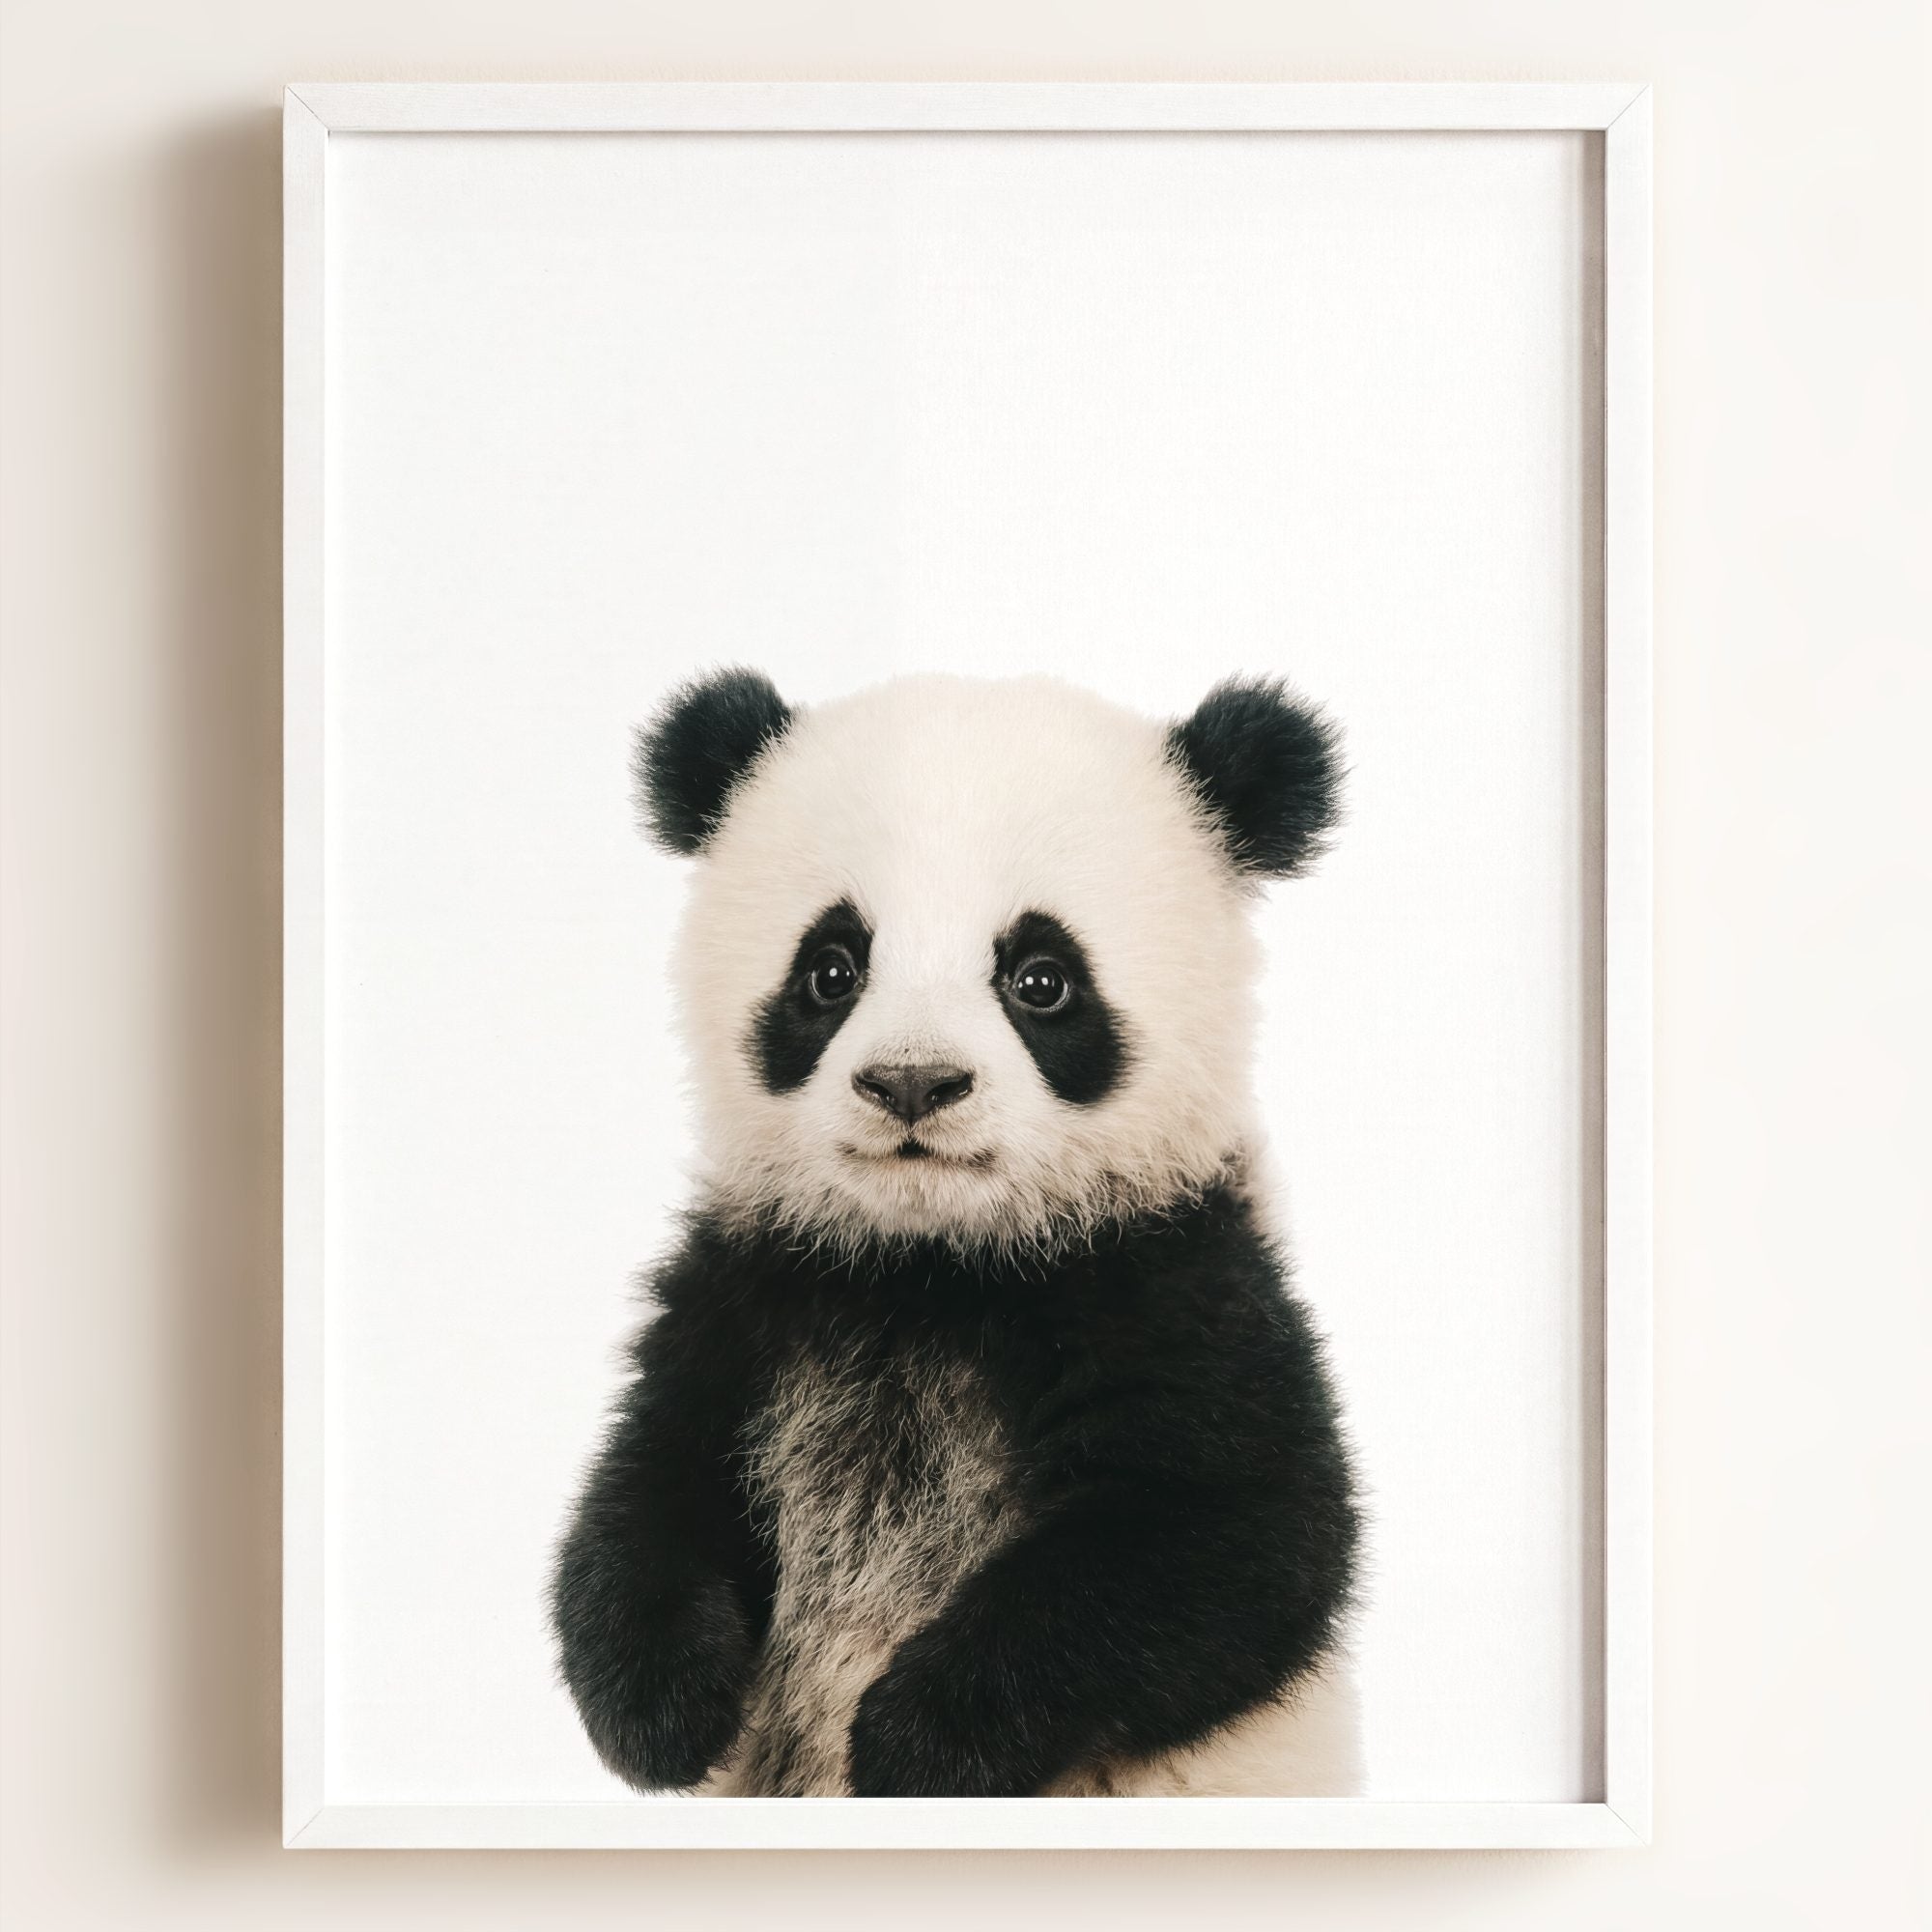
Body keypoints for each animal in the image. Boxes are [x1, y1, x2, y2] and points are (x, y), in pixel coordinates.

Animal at [551, 668, 1363, 1799]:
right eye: (831, 969)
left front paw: (916, 1740)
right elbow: (651, 1486)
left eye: (1040, 978)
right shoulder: (753, 1289)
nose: (912, 1082)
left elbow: (1232, 1538)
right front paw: (665, 1710)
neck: (933, 1264)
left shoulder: (1174, 1279)